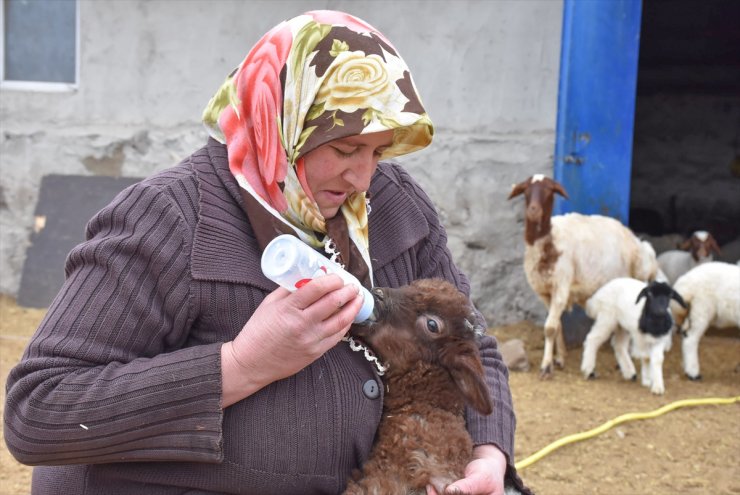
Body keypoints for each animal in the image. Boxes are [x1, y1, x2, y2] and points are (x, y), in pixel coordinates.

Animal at [508, 176, 660, 378]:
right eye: (525, 190)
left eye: (549, 191)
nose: (533, 210)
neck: (550, 240)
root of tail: (637, 242)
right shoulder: (544, 292)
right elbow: (557, 326)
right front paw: (560, 358)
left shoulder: (562, 286)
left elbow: (549, 328)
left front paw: (546, 366)